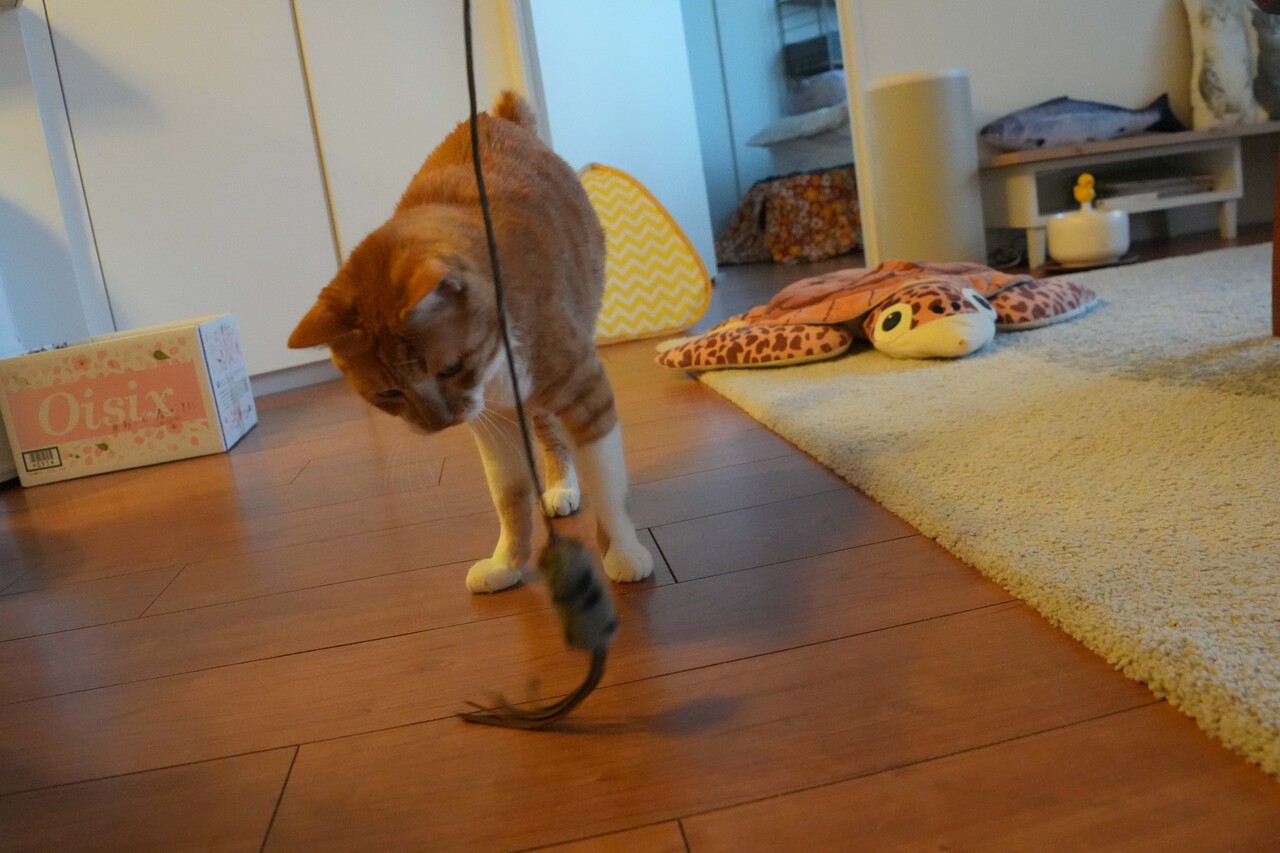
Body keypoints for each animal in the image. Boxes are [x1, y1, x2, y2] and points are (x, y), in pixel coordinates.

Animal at [288, 90, 653, 594]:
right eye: (390, 393)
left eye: (450, 368)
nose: (440, 423)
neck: (496, 370)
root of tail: (491, 117)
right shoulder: (492, 422)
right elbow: (509, 497)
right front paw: (508, 564)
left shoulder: (586, 391)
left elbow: (608, 485)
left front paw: (622, 552)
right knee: (549, 435)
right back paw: (559, 489)